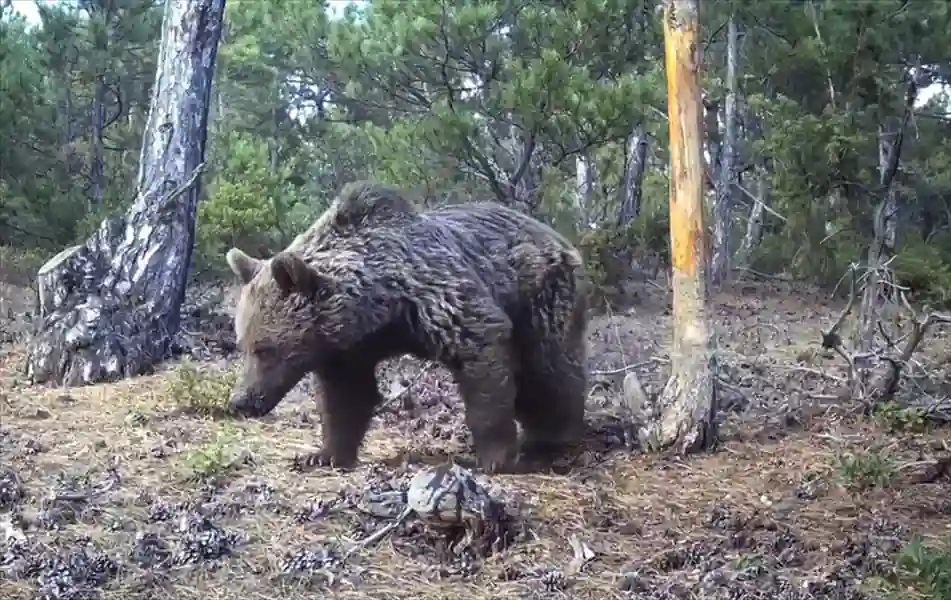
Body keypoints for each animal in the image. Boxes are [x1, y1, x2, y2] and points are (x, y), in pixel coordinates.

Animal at [227, 180, 592, 472]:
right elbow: (345, 398)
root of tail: (560, 237)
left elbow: (482, 352)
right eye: (242, 344)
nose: (241, 402)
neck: (381, 306)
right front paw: (323, 454)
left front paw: (493, 458)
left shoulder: (440, 299)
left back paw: (552, 437)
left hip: (541, 293)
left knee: (549, 366)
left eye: (265, 349)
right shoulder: (347, 351)